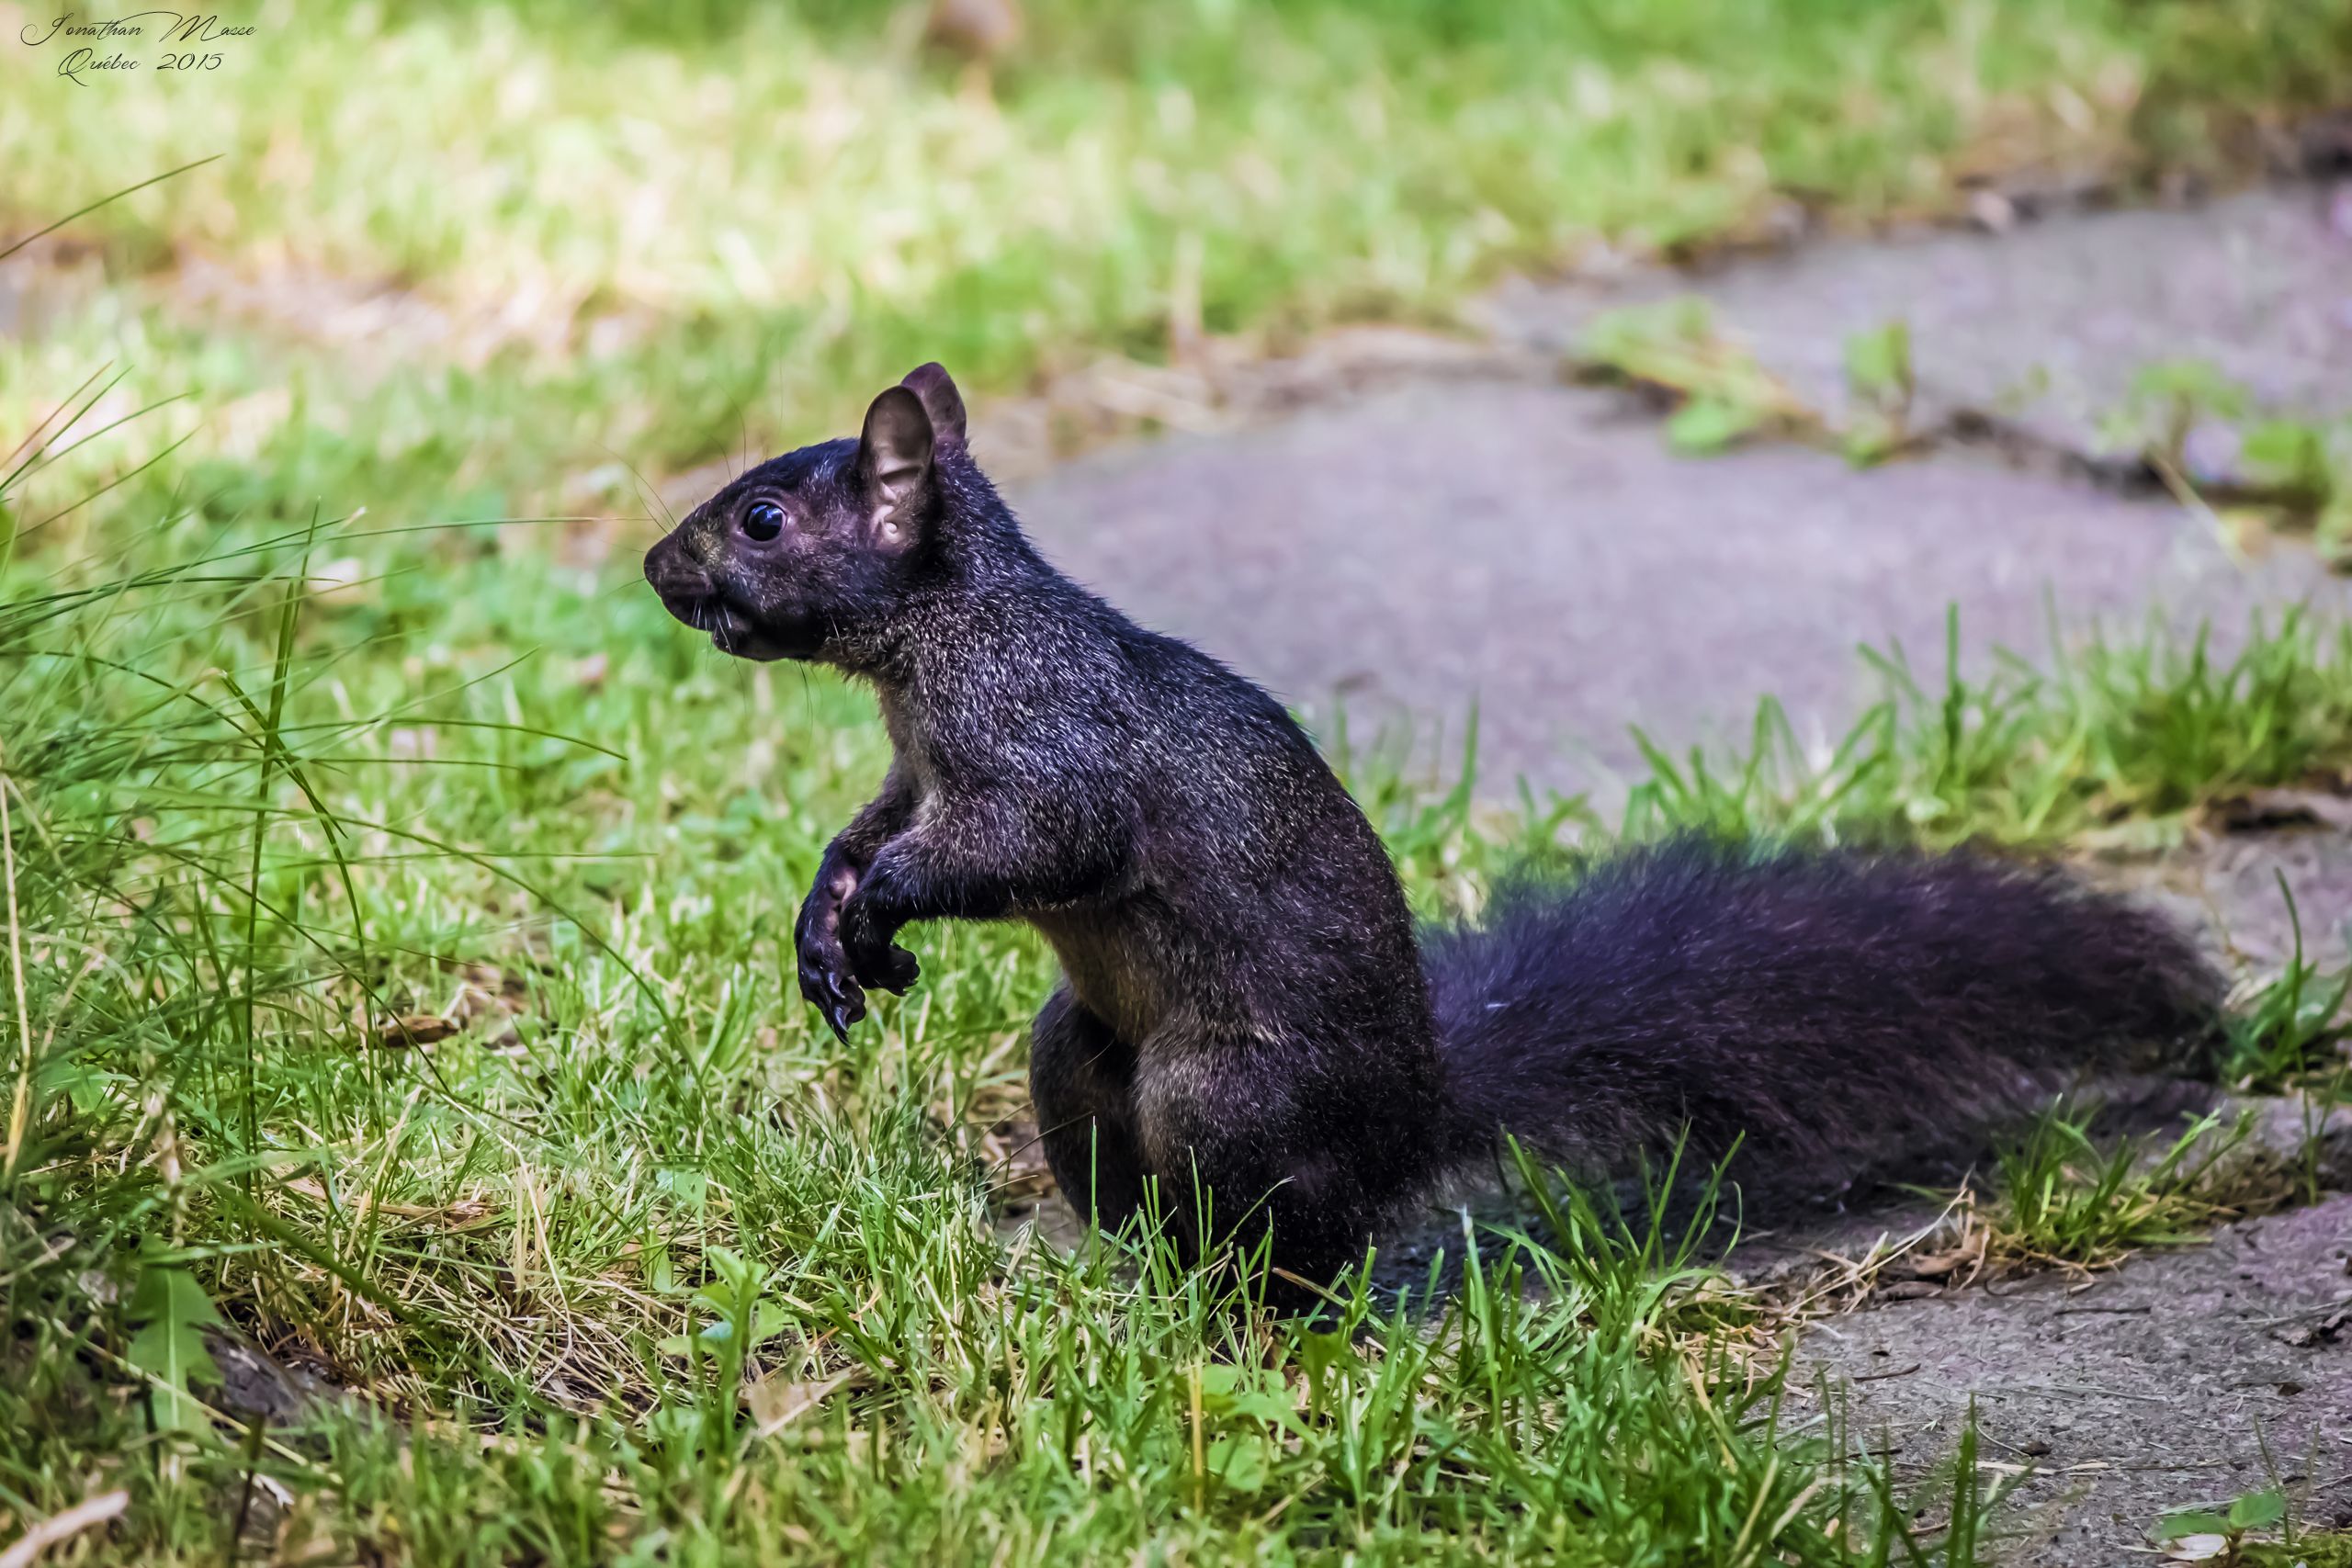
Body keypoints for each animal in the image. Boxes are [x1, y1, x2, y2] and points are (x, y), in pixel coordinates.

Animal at [644, 368, 2220, 1297]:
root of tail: (1418, 1115)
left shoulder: (1044, 738)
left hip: (1229, 1095)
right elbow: (873, 826)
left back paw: (1231, 1307)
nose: (660, 566)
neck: (932, 639)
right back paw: (1116, 1271)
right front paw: (826, 918)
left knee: (1305, 1245)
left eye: (765, 516)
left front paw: (885, 907)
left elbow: (1038, 840)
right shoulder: (916, 765)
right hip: (1077, 1056)